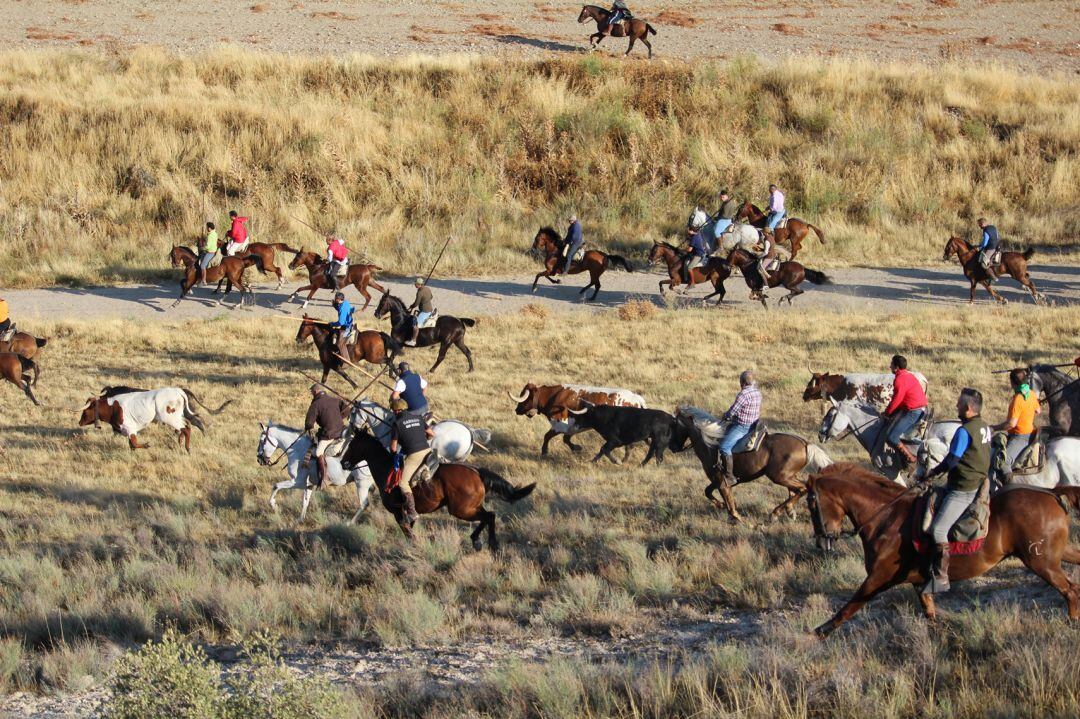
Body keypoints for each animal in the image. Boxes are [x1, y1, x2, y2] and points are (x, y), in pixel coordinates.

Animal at [341, 427, 535, 550]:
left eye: (352, 445)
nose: (343, 463)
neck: (386, 467)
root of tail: (477, 472)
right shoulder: (407, 513)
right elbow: (410, 529)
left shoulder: (398, 512)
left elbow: (408, 532)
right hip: (471, 507)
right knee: (489, 516)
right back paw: (482, 542)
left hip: (461, 509)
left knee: (489, 516)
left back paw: (486, 542)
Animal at [507, 380, 643, 453]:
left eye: (524, 396)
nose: (516, 410)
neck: (553, 396)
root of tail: (636, 398)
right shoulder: (571, 427)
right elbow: (566, 439)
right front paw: (576, 448)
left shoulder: (559, 424)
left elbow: (548, 436)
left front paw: (544, 451)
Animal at [673, 405, 833, 518]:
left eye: (674, 424)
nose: (674, 448)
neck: (710, 444)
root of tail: (805, 444)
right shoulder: (716, 481)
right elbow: (707, 492)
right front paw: (721, 506)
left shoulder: (721, 481)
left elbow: (726, 500)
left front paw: (731, 512)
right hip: (787, 476)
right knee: (795, 490)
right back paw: (788, 510)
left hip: (779, 476)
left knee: (802, 488)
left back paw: (776, 513)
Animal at [807, 459, 1080, 634]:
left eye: (811, 502)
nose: (822, 542)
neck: (885, 516)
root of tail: (1052, 493)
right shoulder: (920, 583)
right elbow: (930, 613)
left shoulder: (877, 578)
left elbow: (848, 608)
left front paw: (818, 632)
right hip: (1054, 555)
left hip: (1041, 561)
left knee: (1070, 590)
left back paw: (1072, 621)